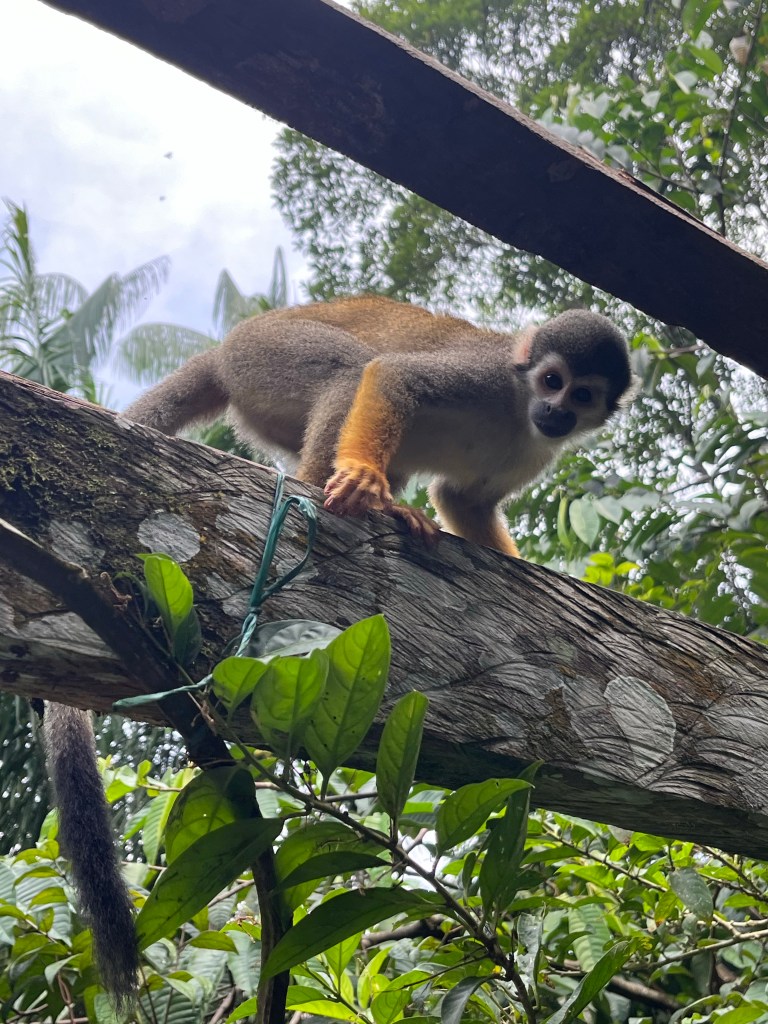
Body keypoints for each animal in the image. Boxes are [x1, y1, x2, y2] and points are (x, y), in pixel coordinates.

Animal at [125, 296, 637, 558]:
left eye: (581, 396)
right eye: (552, 381)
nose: (555, 412)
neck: (517, 407)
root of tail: (225, 350)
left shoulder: (539, 452)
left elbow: (463, 500)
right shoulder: (488, 373)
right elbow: (395, 375)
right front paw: (362, 473)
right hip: (262, 352)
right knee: (353, 369)